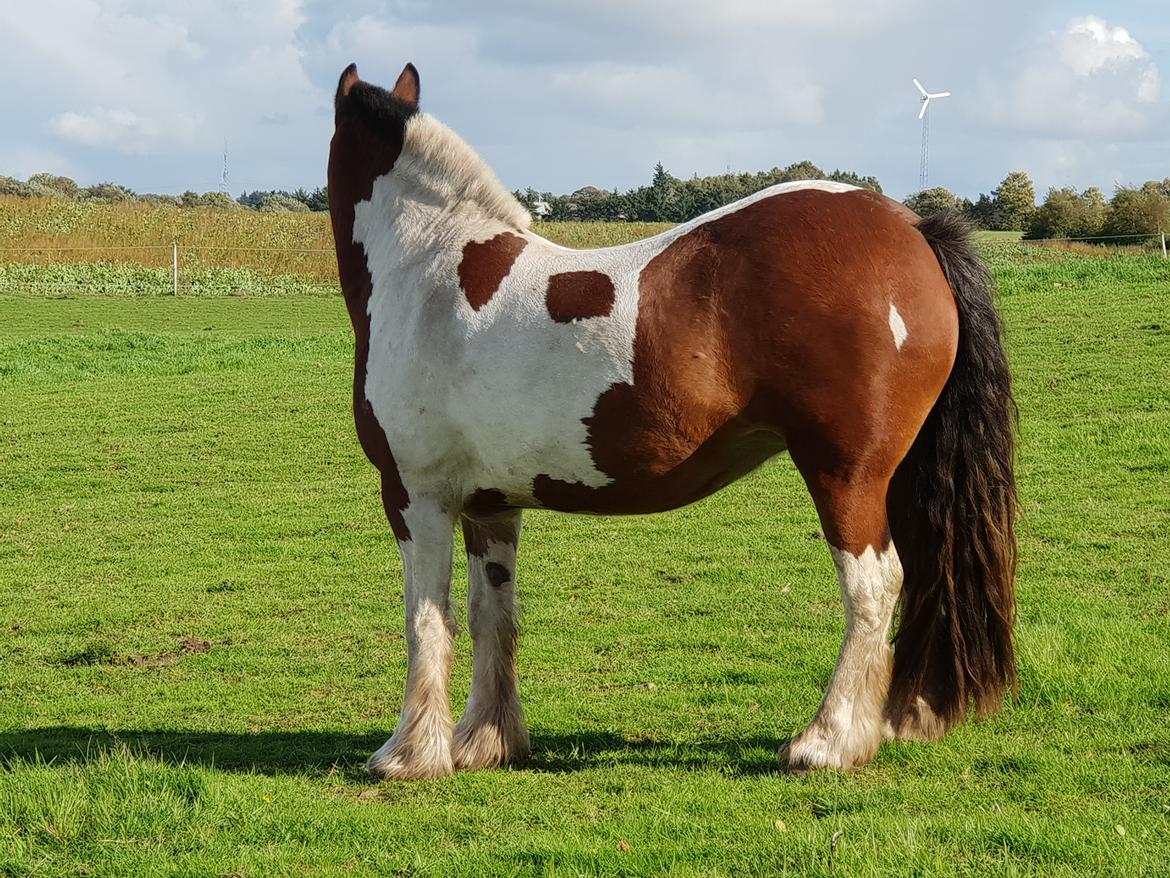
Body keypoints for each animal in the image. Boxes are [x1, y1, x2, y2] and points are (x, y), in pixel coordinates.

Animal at [327, 63, 1015, 782]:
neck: (433, 272)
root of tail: (913, 228)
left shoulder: (417, 495)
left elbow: (426, 621)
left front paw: (408, 754)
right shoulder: (491, 505)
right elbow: (493, 615)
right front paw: (485, 741)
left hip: (845, 476)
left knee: (873, 588)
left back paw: (826, 742)